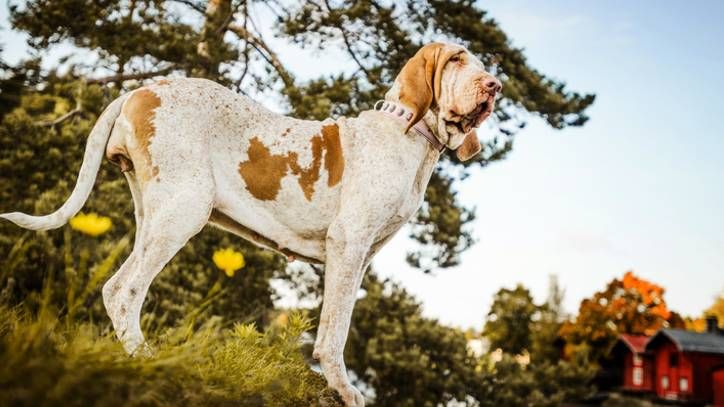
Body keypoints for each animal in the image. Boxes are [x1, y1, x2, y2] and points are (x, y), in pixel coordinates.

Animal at [1, 43, 498, 406]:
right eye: (456, 59)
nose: (493, 85)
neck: (410, 136)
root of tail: (139, 90)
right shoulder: (348, 245)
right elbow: (334, 331)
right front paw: (342, 388)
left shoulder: (360, 259)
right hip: (184, 211)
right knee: (123, 290)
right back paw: (147, 359)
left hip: (154, 215)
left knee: (120, 287)